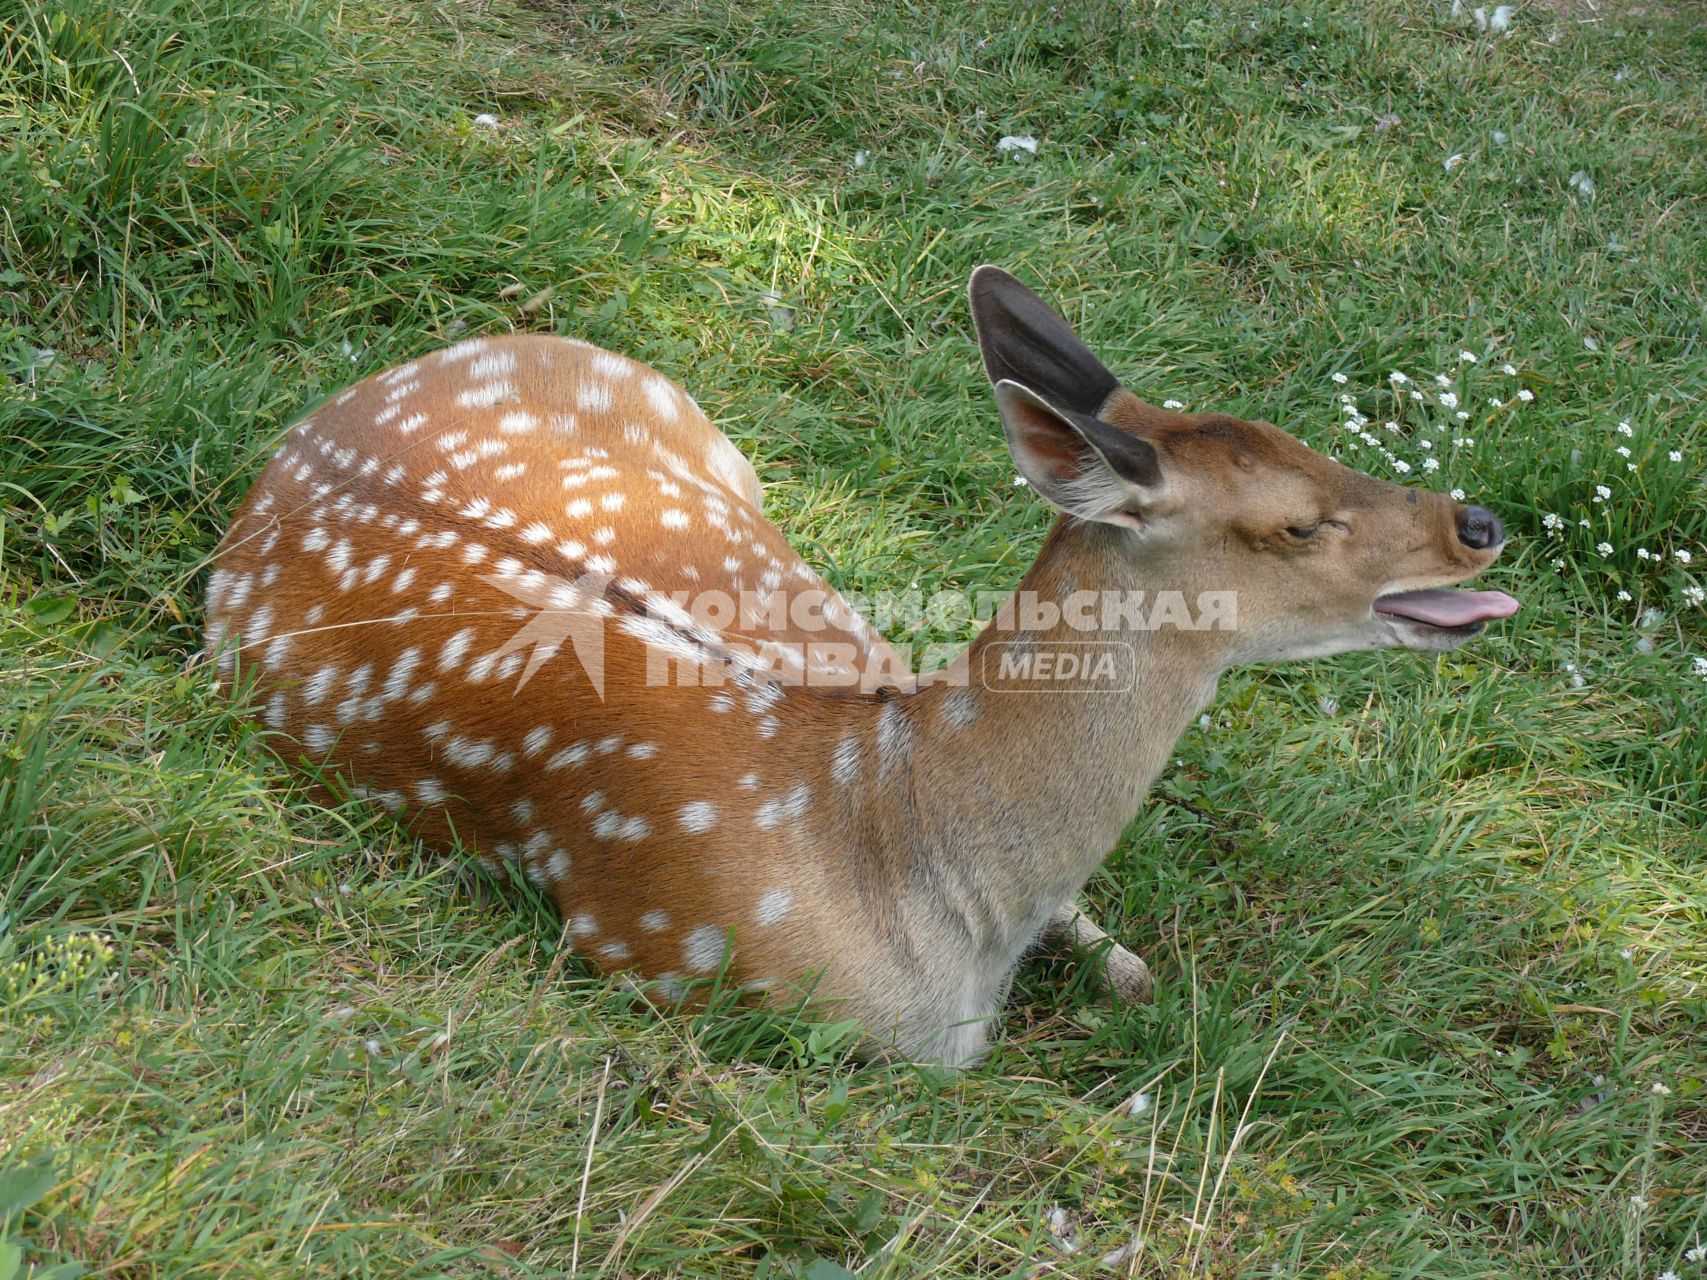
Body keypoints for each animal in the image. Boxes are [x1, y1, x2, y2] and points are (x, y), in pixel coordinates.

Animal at [203, 267, 1522, 1064]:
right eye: (1298, 520)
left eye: (1315, 442)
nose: (1480, 521)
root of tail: (310, 427)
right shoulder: (681, 963)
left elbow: (1134, 968)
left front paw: (1129, 968)